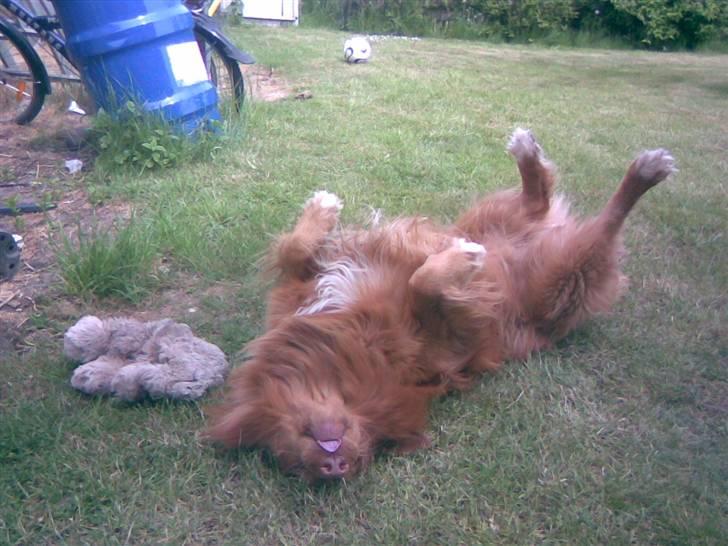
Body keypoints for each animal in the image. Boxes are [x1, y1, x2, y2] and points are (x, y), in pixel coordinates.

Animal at [205, 130, 676, 478]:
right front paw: (460, 262)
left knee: (554, 206)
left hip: (499, 229)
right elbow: (423, 283)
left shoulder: (302, 290)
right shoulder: (449, 339)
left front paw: (321, 210)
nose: (334, 468)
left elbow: (298, 249)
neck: (347, 348)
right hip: (558, 280)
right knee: (583, 221)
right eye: (289, 464)